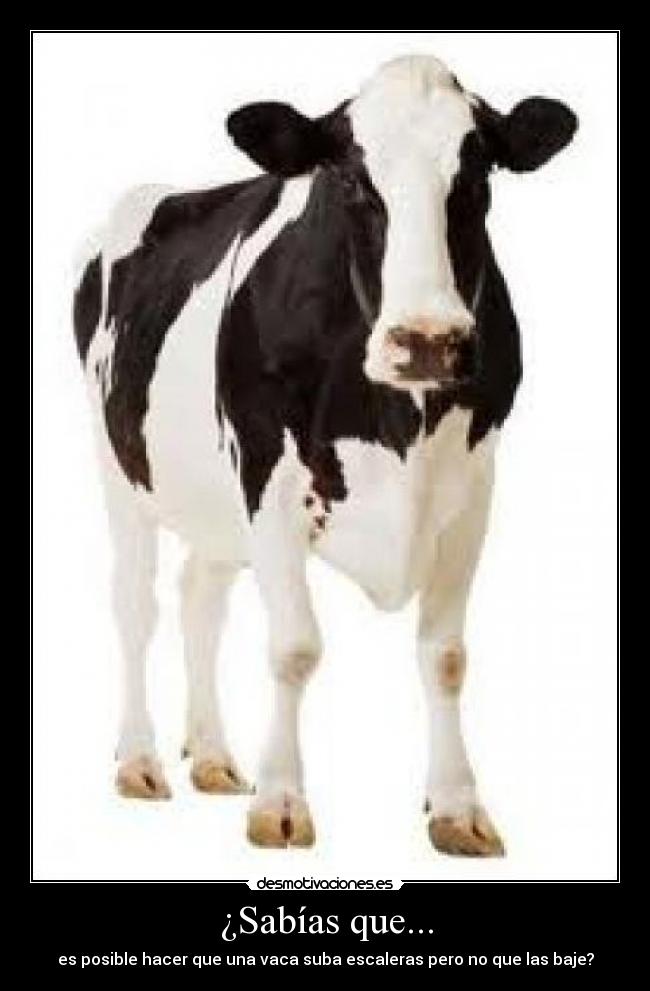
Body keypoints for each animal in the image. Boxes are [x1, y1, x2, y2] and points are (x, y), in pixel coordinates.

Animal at [73, 55, 576, 855]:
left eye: (477, 177)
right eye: (351, 182)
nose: (427, 340)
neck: (398, 421)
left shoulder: (473, 492)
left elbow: (445, 656)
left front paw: (457, 805)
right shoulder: (268, 483)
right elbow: (295, 648)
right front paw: (280, 801)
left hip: (215, 506)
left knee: (200, 601)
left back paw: (210, 755)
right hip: (118, 467)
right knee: (134, 606)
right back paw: (139, 760)